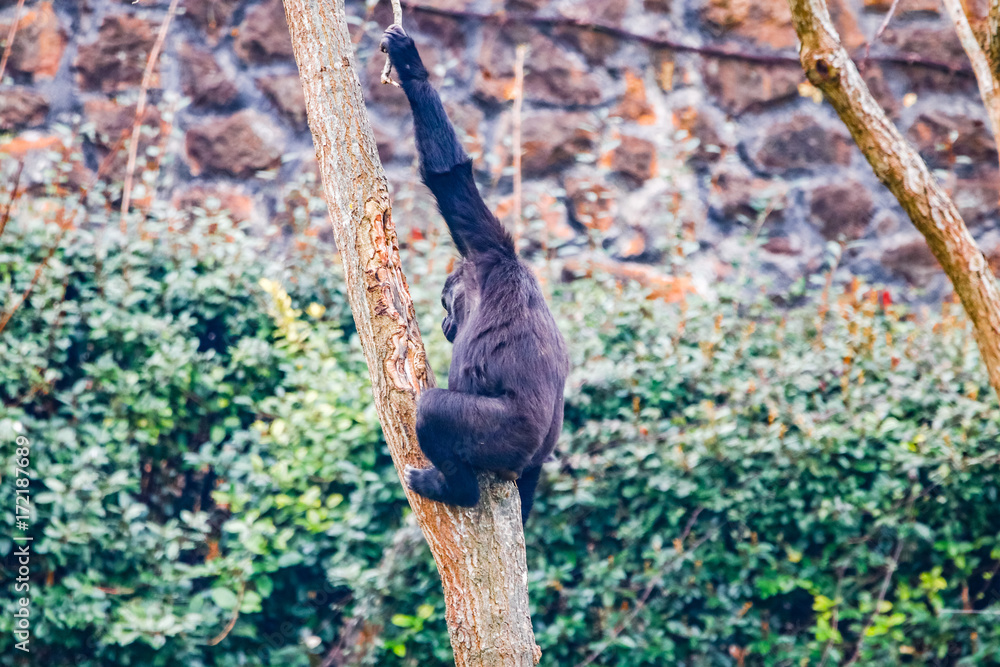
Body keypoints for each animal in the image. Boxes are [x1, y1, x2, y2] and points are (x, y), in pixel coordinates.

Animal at [380, 24, 569, 525]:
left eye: (447, 303)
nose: (447, 321)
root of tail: (522, 461)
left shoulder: (485, 249)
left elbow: (450, 178)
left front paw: (411, 67)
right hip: (530, 464)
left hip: (501, 438)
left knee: (434, 412)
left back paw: (454, 489)